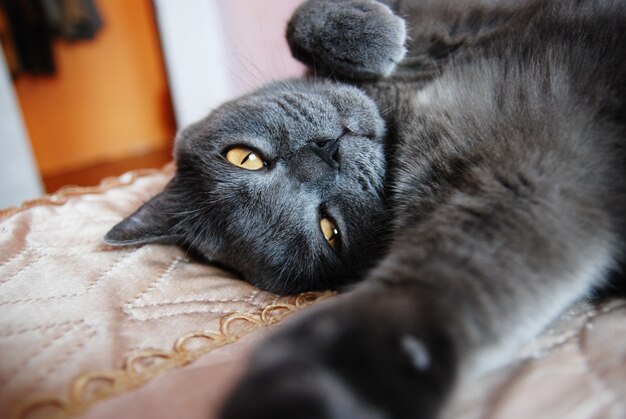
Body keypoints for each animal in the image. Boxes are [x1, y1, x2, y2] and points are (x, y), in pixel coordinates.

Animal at [106, 0, 624, 418]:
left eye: (244, 157)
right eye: (329, 229)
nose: (326, 153)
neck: (400, 96)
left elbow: (298, 20)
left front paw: (373, 35)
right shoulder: (522, 183)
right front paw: (319, 383)